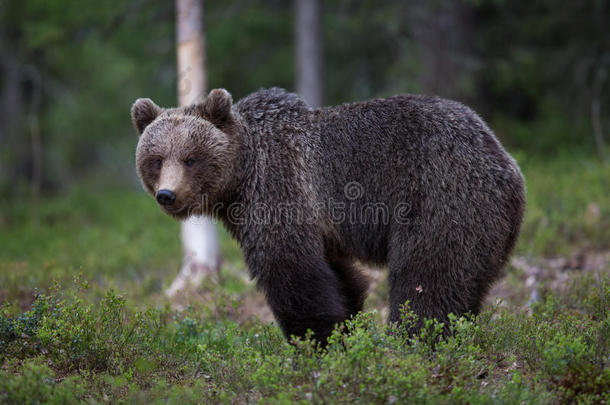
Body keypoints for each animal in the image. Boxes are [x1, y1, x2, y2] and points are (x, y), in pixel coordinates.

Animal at [131, 87, 524, 340]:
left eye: (190, 158)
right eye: (156, 159)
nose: (167, 195)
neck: (241, 179)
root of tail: (506, 163)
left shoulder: (281, 190)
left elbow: (292, 272)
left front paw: (314, 340)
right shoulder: (323, 228)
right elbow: (340, 278)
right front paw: (346, 328)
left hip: (442, 195)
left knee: (427, 277)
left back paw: (414, 339)